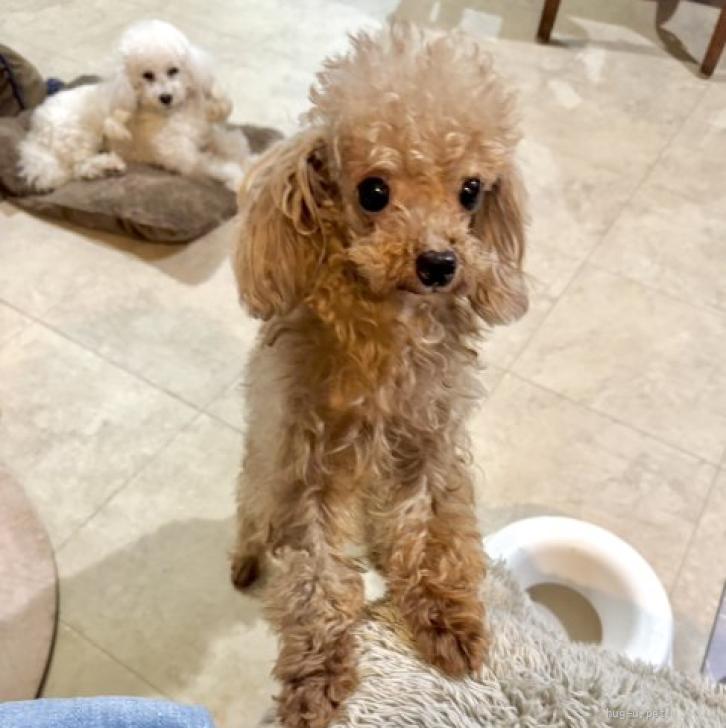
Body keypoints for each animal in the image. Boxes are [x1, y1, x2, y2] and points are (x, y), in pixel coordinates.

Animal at [18, 20, 247, 192]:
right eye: (147, 75)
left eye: (173, 70)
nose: (165, 97)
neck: (173, 114)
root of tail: (35, 129)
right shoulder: (183, 156)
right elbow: (216, 165)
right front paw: (240, 178)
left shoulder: (206, 134)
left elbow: (232, 144)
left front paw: (247, 160)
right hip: (80, 136)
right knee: (79, 167)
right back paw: (108, 165)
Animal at [230, 26, 527, 728]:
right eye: (373, 192)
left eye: (470, 191)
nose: (440, 263)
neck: (389, 335)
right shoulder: (307, 471)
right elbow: (318, 579)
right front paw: (317, 679)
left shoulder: (429, 445)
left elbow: (429, 530)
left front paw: (448, 621)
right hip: (262, 470)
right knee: (251, 514)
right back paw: (246, 561)